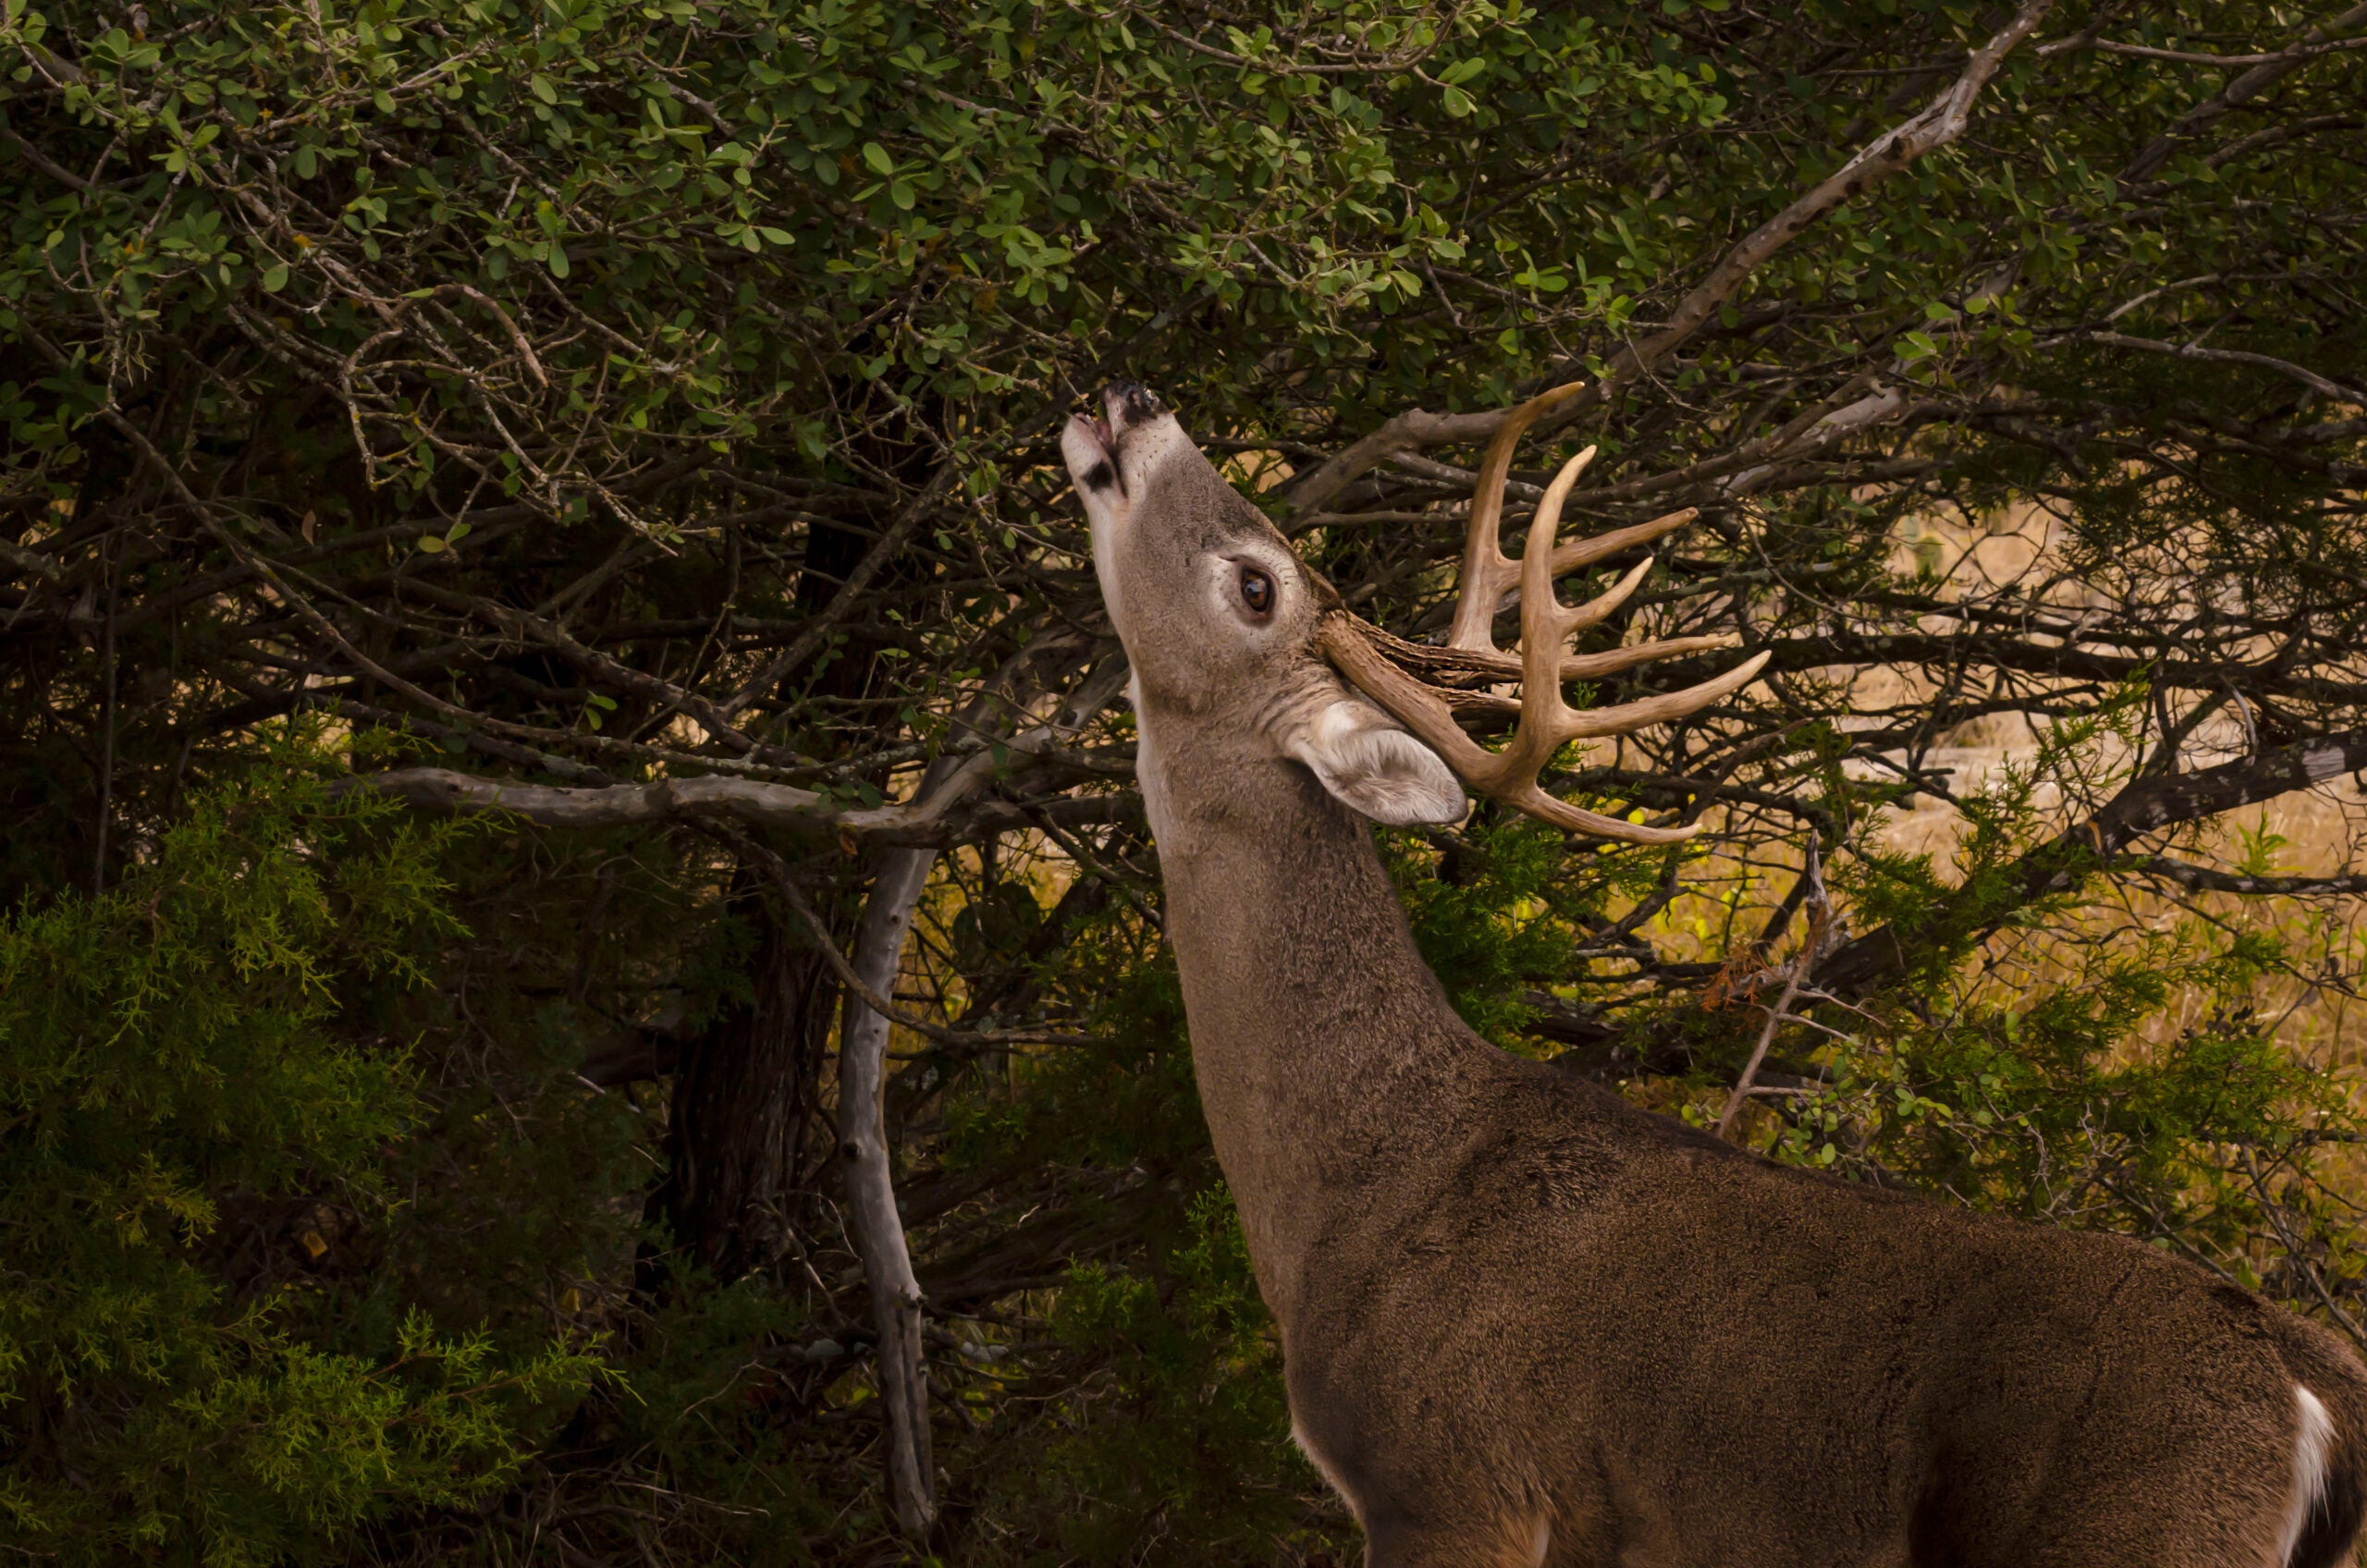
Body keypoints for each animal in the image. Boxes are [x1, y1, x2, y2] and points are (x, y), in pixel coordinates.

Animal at [1061, 377, 2367, 1568]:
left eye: (1254, 586)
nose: (1131, 396)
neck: (1370, 1181)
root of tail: (2315, 1388)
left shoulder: (1448, 1483)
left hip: (2127, 1534)